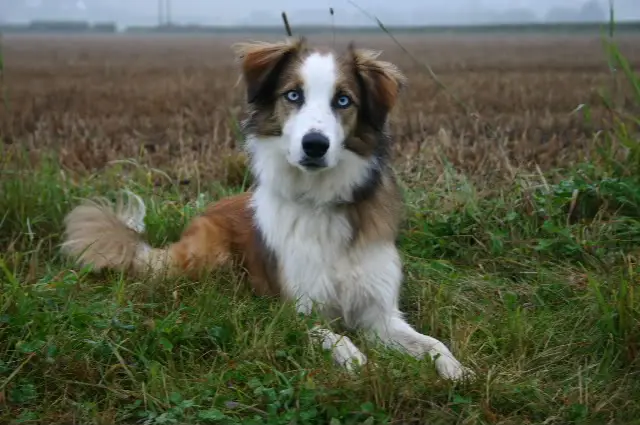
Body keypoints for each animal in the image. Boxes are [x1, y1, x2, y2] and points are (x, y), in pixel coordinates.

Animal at [60, 37, 476, 380]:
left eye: (343, 100)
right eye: (293, 95)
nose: (314, 145)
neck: (321, 202)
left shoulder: (379, 315)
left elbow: (433, 343)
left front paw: (458, 370)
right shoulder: (297, 311)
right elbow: (335, 337)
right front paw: (356, 360)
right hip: (207, 258)